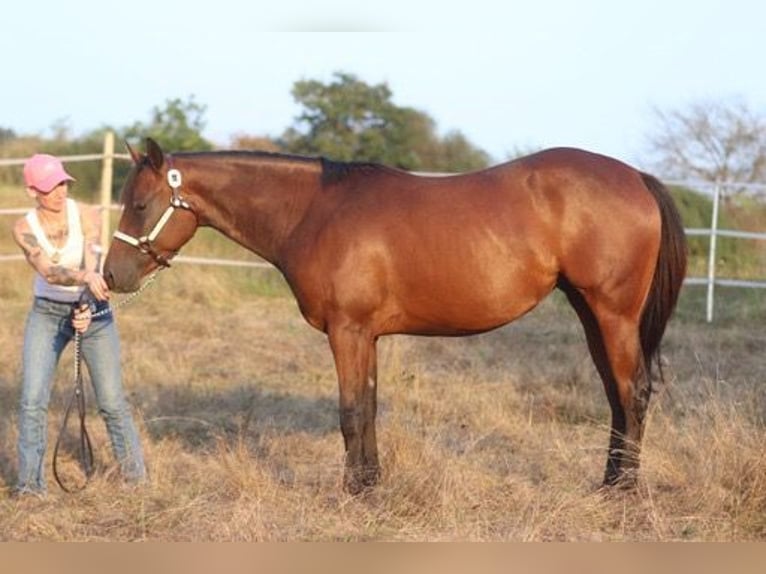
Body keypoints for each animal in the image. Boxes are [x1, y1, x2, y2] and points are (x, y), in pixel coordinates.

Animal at [104, 137, 687, 494]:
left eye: (139, 205)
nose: (110, 276)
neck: (315, 211)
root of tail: (636, 176)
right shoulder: (368, 336)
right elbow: (369, 406)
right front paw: (371, 483)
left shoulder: (347, 331)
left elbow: (350, 411)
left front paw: (353, 491)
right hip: (591, 313)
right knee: (616, 396)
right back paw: (608, 480)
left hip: (612, 313)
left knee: (633, 393)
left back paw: (624, 489)